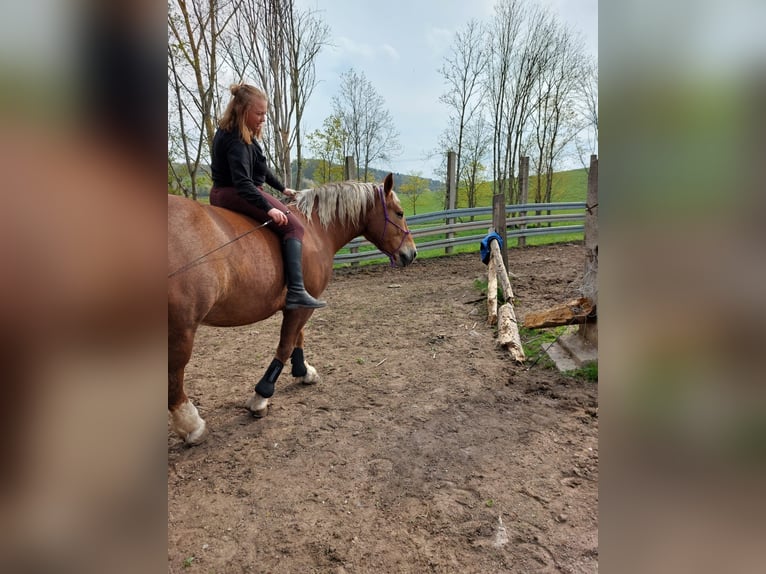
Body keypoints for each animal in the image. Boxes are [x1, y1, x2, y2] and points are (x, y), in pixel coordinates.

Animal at [168, 173, 417, 444]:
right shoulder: (302, 305)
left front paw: (303, 371)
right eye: (400, 213)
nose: (412, 253)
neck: (316, 230)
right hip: (181, 330)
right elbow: (286, 344)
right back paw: (191, 425)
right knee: (174, 374)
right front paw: (262, 396)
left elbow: (299, 337)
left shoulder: (301, 302)